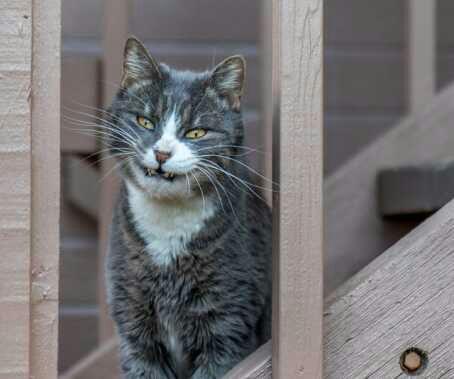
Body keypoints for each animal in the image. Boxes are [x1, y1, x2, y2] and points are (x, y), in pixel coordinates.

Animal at [104, 36, 272, 379]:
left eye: (196, 132)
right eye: (145, 121)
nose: (162, 153)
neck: (168, 226)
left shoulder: (227, 322)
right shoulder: (133, 324)